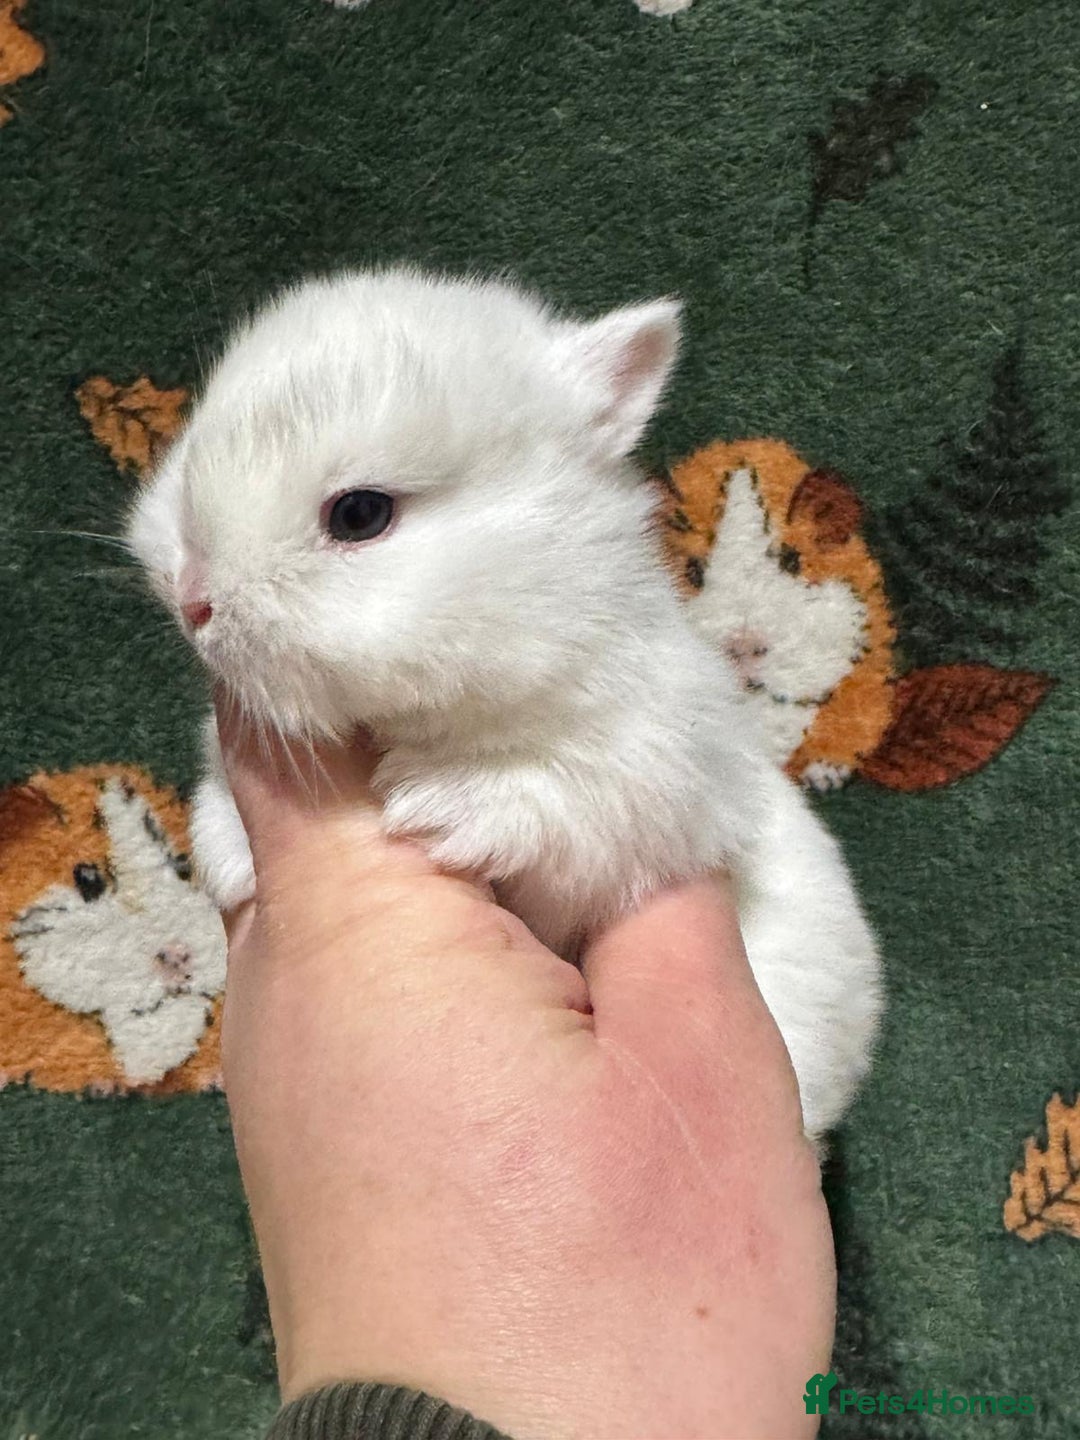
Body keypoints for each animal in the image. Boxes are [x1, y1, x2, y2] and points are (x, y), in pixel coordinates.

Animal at [125, 266, 882, 1139]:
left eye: (361, 514)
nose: (193, 600)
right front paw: (229, 859)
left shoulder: (649, 777)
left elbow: (549, 794)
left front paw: (435, 808)